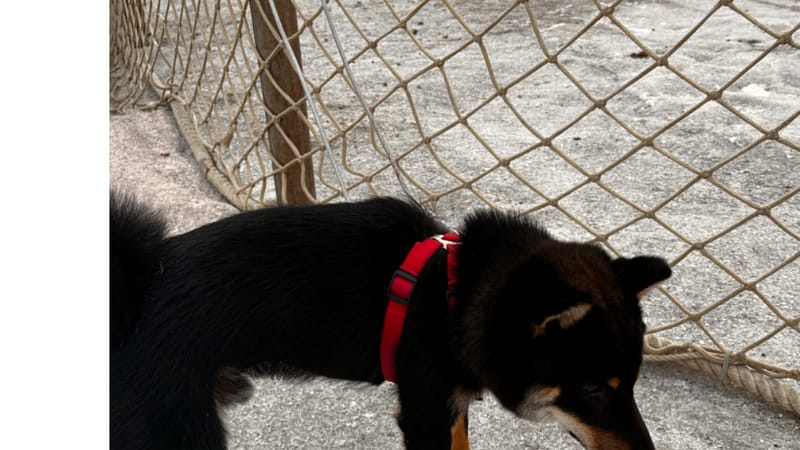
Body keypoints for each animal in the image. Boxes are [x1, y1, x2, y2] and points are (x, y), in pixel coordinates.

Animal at [110, 191, 671, 449]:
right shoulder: (424, 410)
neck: (449, 299)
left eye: (633, 384)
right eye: (593, 389)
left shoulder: (448, 405)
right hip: (177, 428)